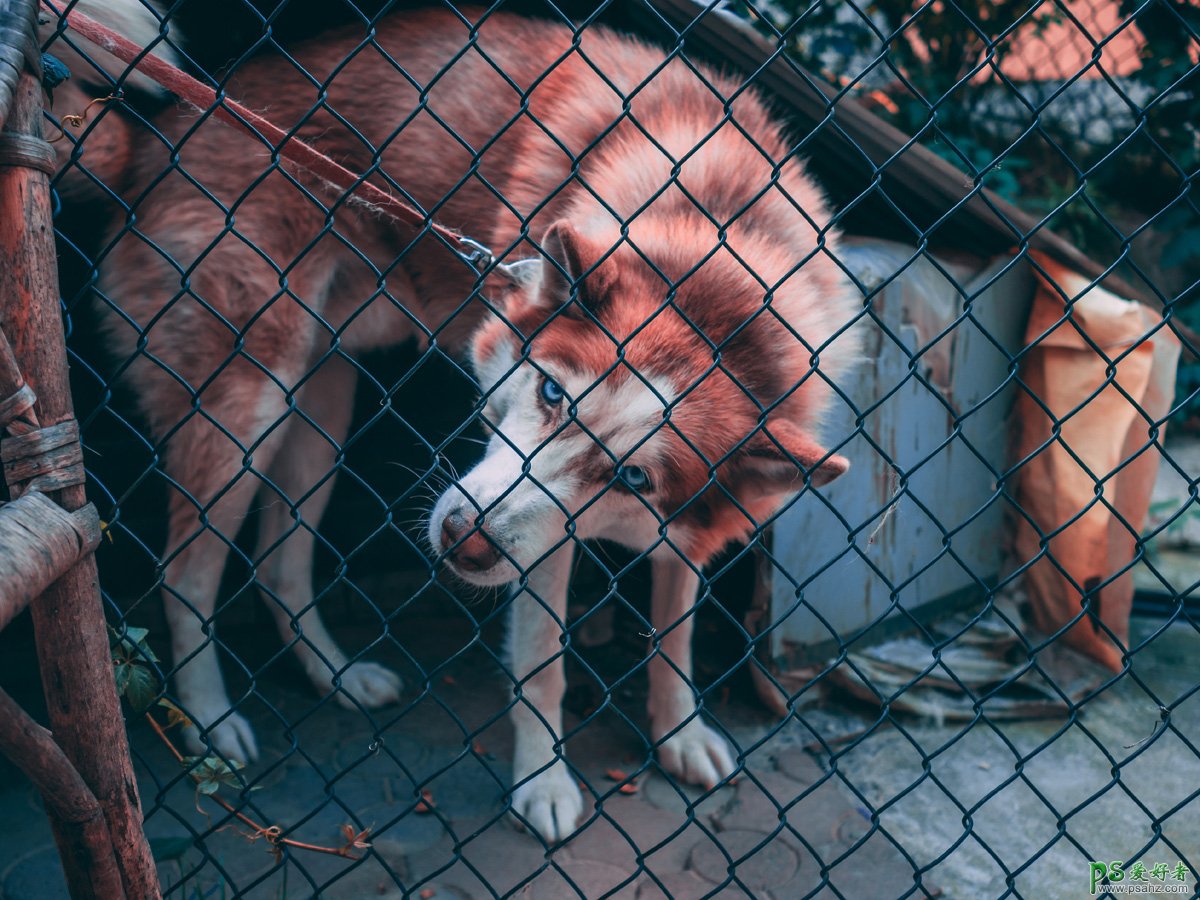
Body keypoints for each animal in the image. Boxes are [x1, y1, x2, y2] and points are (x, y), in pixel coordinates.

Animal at [56, 0, 859, 844]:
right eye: (551, 392)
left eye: (634, 477)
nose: (459, 542)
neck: (721, 280)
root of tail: (159, 139)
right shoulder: (539, 547)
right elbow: (543, 664)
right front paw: (543, 784)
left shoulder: (678, 531)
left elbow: (675, 634)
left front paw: (679, 734)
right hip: (246, 407)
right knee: (185, 575)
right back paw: (209, 723)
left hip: (320, 413)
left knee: (279, 564)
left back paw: (338, 676)